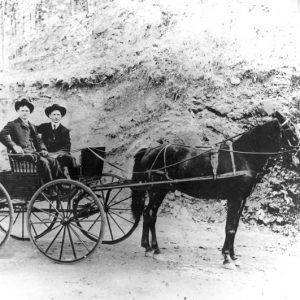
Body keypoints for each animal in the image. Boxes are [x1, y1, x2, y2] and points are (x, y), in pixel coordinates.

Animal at [130, 111, 298, 266]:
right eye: (291, 129)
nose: (297, 151)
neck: (243, 156)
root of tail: (149, 150)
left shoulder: (242, 199)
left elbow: (235, 226)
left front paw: (232, 255)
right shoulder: (235, 198)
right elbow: (229, 227)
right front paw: (227, 258)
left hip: (157, 190)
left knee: (148, 214)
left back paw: (149, 248)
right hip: (158, 190)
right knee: (150, 214)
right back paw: (154, 249)